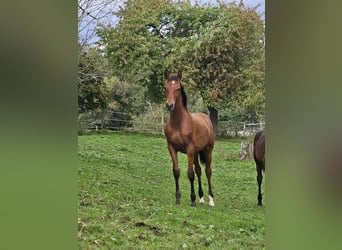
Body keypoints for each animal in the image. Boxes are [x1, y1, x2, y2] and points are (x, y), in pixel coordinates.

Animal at [163, 69, 214, 207]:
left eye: (178, 88)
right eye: (165, 87)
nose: (170, 105)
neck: (178, 123)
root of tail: (205, 118)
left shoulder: (189, 149)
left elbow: (190, 174)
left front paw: (192, 200)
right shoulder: (171, 148)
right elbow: (176, 171)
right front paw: (178, 198)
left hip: (207, 151)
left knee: (208, 171)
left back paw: (211, 199)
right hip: (196, 152)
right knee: (199, 170)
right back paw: (201, 197)